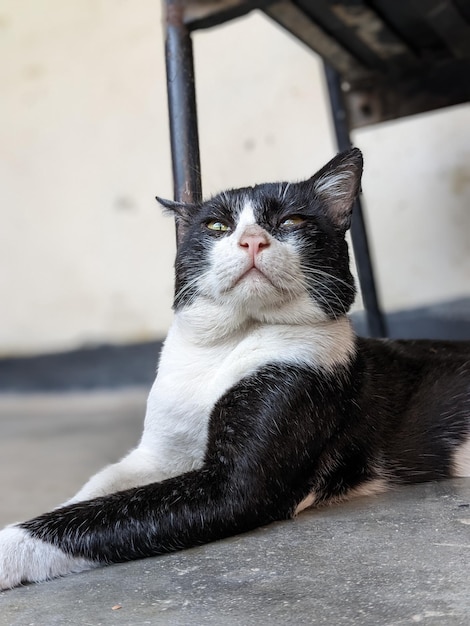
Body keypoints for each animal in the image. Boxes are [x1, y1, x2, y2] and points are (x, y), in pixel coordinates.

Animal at [0, 149, 470, 588]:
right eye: (216, 227)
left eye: (292, 219)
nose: (252, 241)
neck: (222, 347)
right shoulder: (156, 454)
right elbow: (98, 489)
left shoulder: (235, 484)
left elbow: (99, 513)